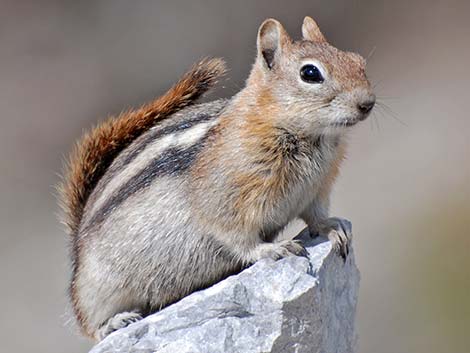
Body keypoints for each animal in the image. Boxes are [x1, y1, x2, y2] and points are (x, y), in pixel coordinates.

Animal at [58, 17, 374, 340]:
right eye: (310, 73)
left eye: (358, 61)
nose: (368, 103)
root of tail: (75, 250)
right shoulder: (226, 200)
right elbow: (236, 236)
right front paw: (273, 248)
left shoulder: (316, 190)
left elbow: (315, 215)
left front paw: (331, 227)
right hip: (99, 289)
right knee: (90, 326)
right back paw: (115, 322)